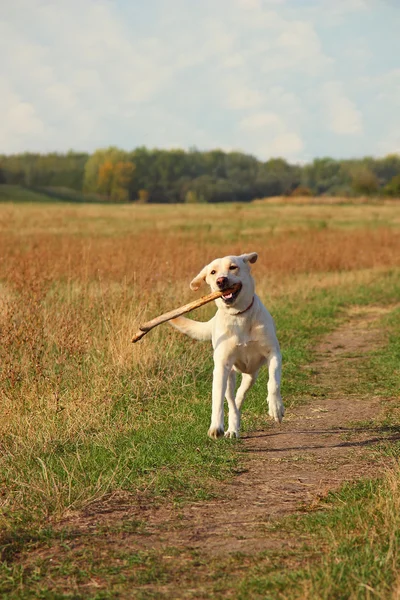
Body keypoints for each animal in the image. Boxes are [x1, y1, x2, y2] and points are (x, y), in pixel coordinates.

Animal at [170, 251, 282, 438]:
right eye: (213, 272)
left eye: (233, 267)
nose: (221, 281)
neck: (239, 315)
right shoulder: (222, 366)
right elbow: (217, 399)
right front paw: (216, 426)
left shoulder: (273, 353)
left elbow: (273, 382)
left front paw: (276, 407)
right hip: (231, 375)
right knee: (231, 401)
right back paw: (232, 428)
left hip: (251, 375)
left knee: (239, 397)